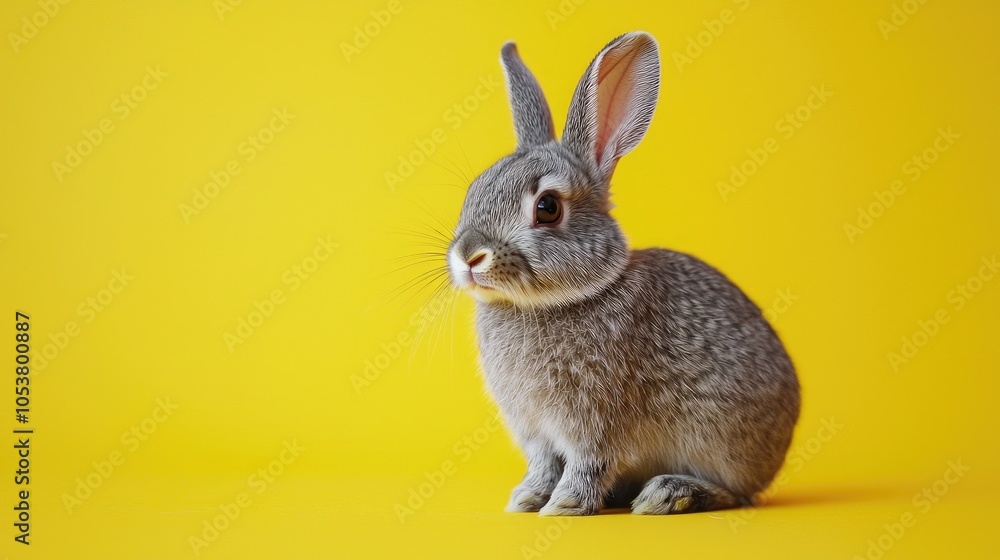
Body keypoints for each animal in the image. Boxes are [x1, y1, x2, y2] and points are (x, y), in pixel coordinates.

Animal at [445, 31, 800, 516]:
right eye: (473, 190)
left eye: (547, 207)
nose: (468, 256)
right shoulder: (536, 431)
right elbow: (543, 464)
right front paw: (527, 499)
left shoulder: (594, 422)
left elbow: (587, 463)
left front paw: (565, 504)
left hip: (723, 447)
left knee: (739, 494)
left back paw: (668, 494)